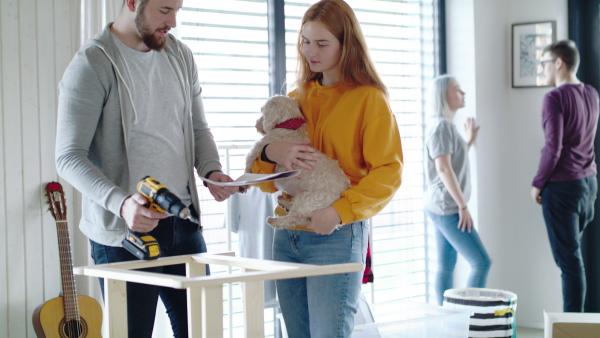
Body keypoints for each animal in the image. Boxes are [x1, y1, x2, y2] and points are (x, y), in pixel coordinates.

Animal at [243, 93, 350, 228]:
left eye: (262, 111)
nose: (256, 124)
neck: (290, 127)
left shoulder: (257, 150)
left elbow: (247, 166)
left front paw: (243, 186)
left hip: (308, 200)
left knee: (294, 219)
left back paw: (274, 220)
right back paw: (285, 202)